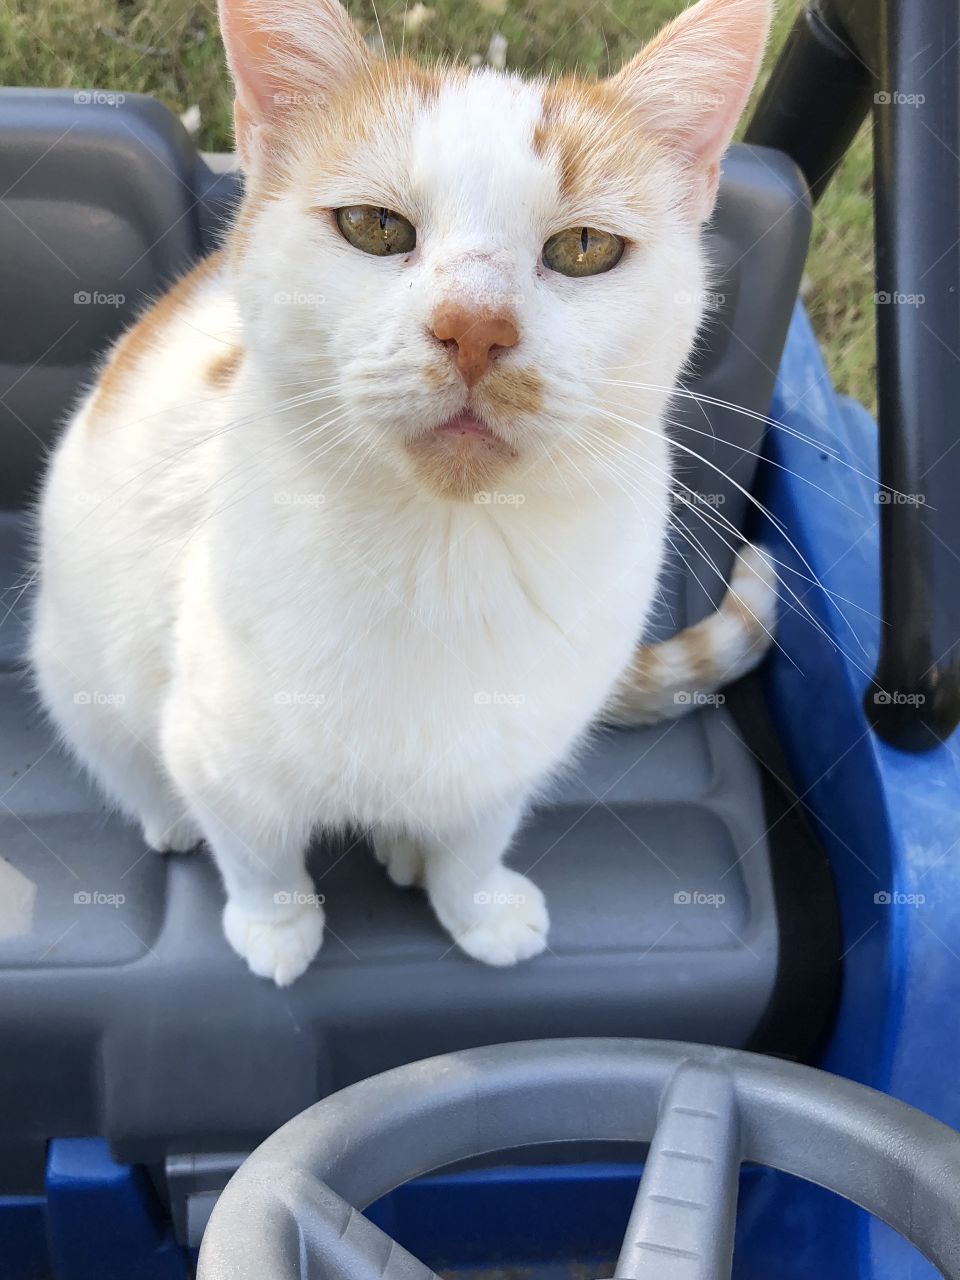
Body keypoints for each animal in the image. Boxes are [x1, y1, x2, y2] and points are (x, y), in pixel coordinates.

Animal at [32, 0, 783, 983]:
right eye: (373, 227)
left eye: (585, 248)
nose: (475, 327)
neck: (445, 556)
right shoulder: (217, 748)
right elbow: (256, 849)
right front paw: (276, 929)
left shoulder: (510, 753)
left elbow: (476, 835)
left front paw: (476, 904)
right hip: (74, 657)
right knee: (127, 754)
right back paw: (169, 821)